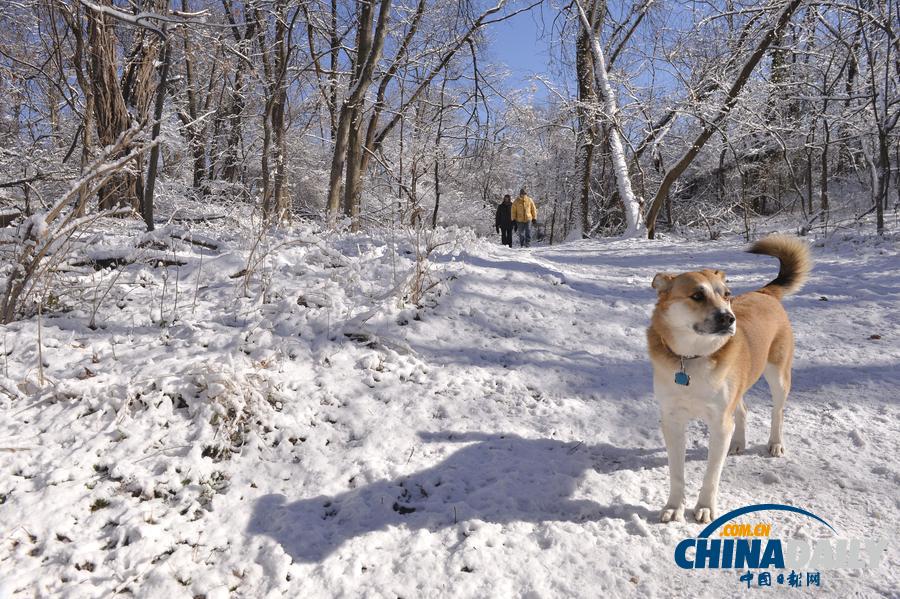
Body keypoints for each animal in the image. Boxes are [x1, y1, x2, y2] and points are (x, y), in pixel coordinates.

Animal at [648, 236, 808, 524]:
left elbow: (711, 474)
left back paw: (775, 444)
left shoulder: (719, 423)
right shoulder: (672, 420)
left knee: (777, 412)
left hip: (778, 375)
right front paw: (674, 506)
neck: (692, 358)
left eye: (726, 294)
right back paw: (738, 443)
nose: (728, 318)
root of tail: (765, 293)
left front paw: (704, 507)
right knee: (742, 409)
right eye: (697, 295)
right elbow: (676, 473)